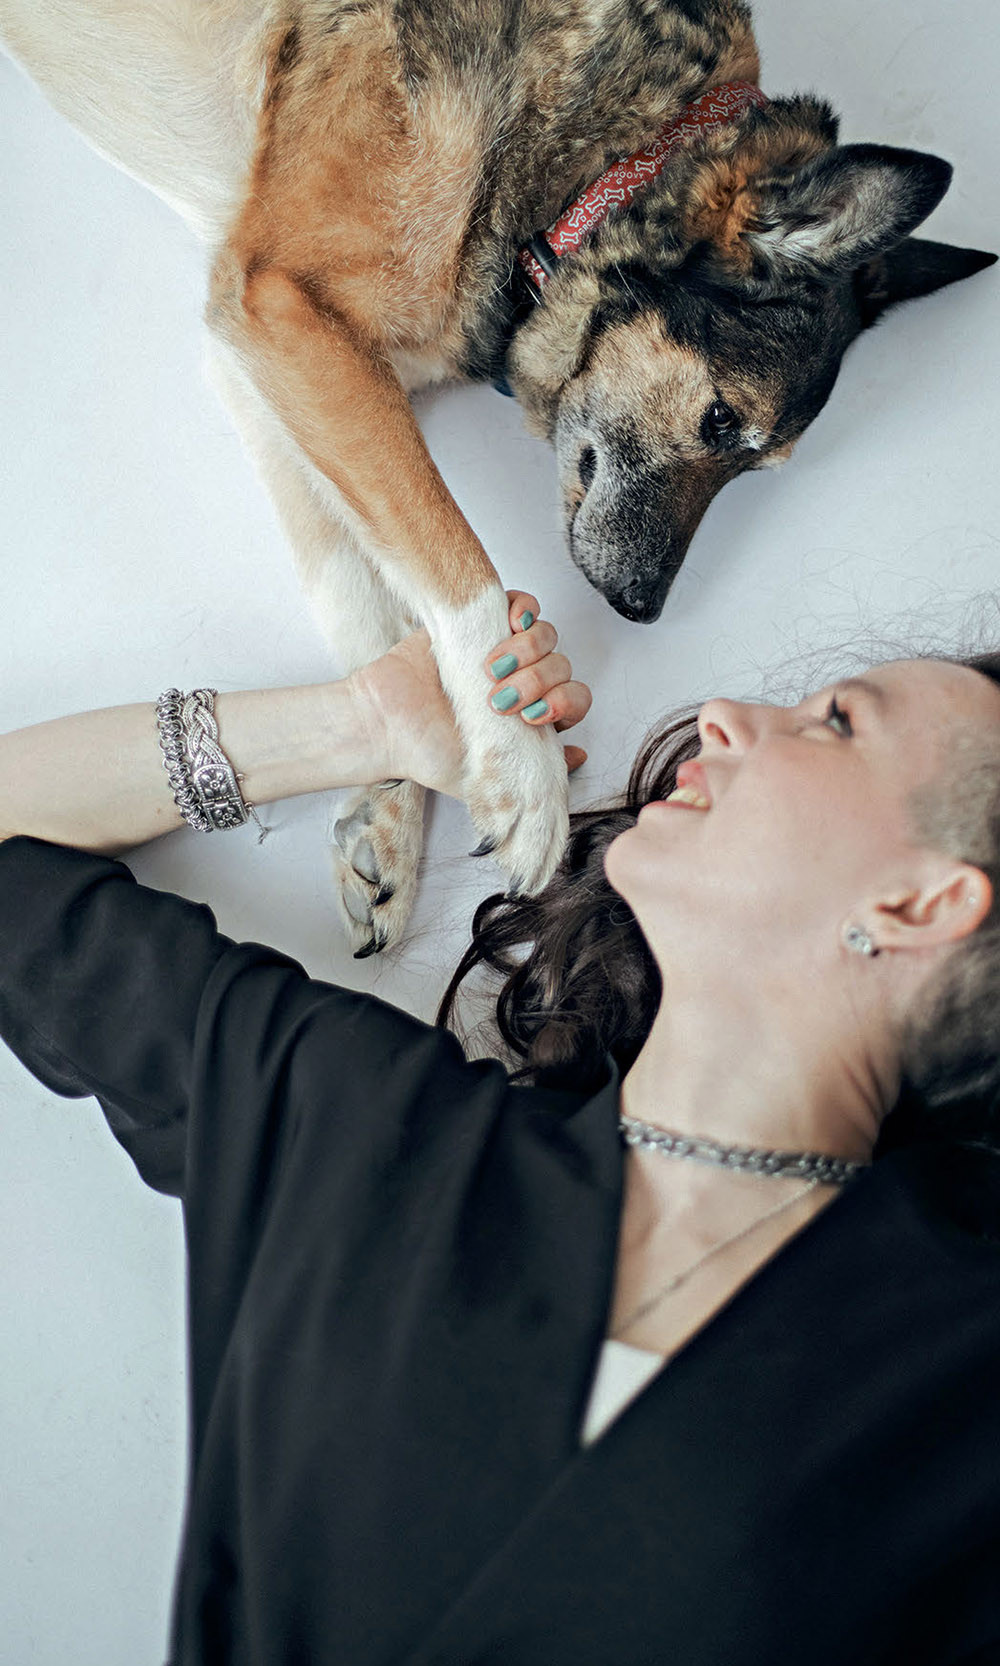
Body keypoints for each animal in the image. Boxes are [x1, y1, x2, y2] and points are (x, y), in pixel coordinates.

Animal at [2, 0, 993, 953]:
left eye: (757, 463)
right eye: (720, 420)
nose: (642, 610)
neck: (601, 158)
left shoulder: (258, 357)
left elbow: (359, 594)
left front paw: (393, 810)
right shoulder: (287, 307)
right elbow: (452, 559)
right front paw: (523, 764)